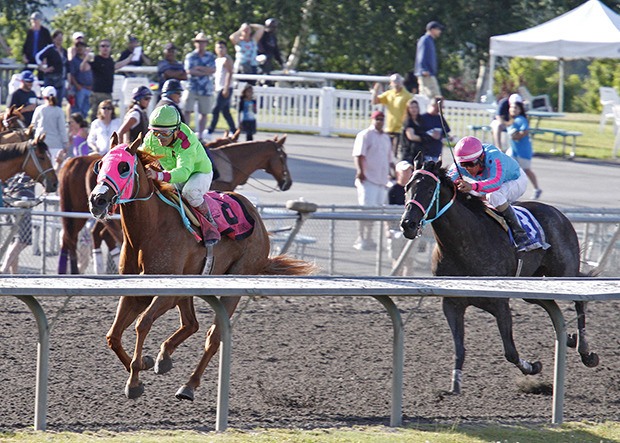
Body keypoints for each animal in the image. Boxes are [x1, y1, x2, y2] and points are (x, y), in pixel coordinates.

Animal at [89, 134, 312, 398]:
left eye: (124, 167)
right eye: (100, 164)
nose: (97, 200)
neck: (149, 230)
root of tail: (257, 217)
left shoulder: (166, 292)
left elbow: (142, 324)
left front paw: (134, 380)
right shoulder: (136, 292)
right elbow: (113, 335)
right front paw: (144, 363)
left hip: (234, 284)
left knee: (213, 337)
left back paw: (188, 385)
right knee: (191, 324)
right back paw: (164, 358)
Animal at [400, 160, 600, 396]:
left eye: (430, 189)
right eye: (407, 187)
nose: (407, 224)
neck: (465, 245)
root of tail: (559, 214)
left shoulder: (499, 302)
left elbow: (510, 352)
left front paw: (533, 366)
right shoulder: (452, 303)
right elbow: (459, 348)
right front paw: (454, 386)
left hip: (564, 272)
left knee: (579, 300)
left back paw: (585, 352)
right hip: (532, 283)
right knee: (547, 303)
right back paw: (569, 338)